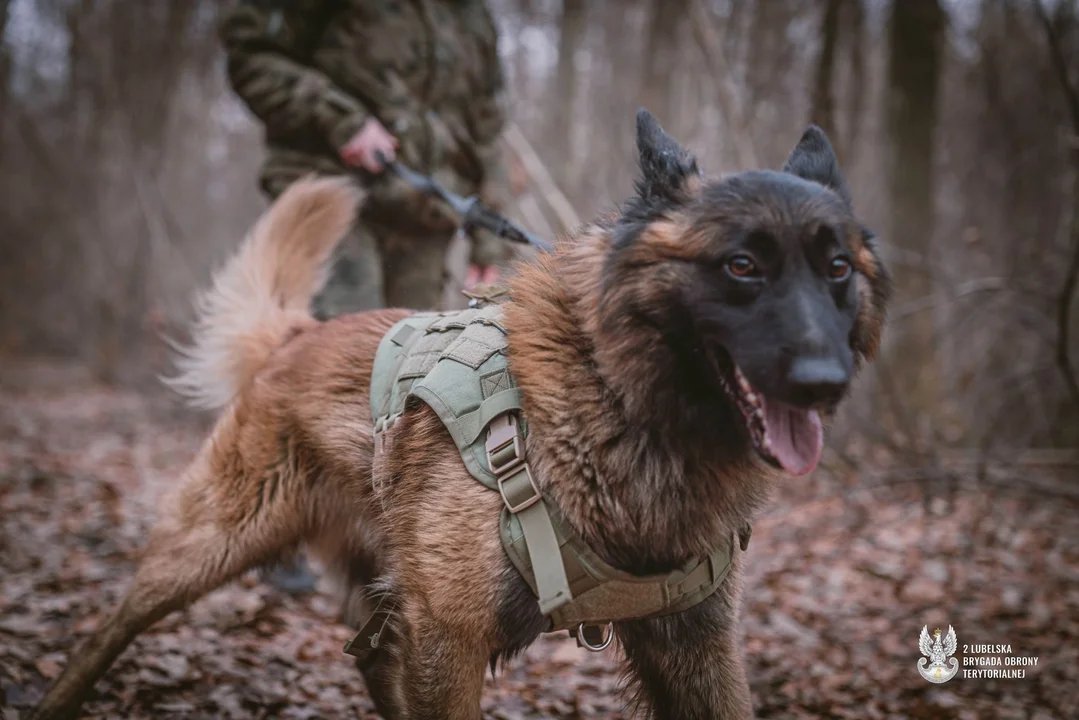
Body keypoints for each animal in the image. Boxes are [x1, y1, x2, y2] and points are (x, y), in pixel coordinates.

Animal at [35, 108, 893, 720]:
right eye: (741, 266)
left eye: (836, 268)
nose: (824, 382)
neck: (614, 402)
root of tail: (299, 334)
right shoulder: (448, 635)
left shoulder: (693, 646)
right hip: (214, 543)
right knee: (115, 622)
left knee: (370, 657)